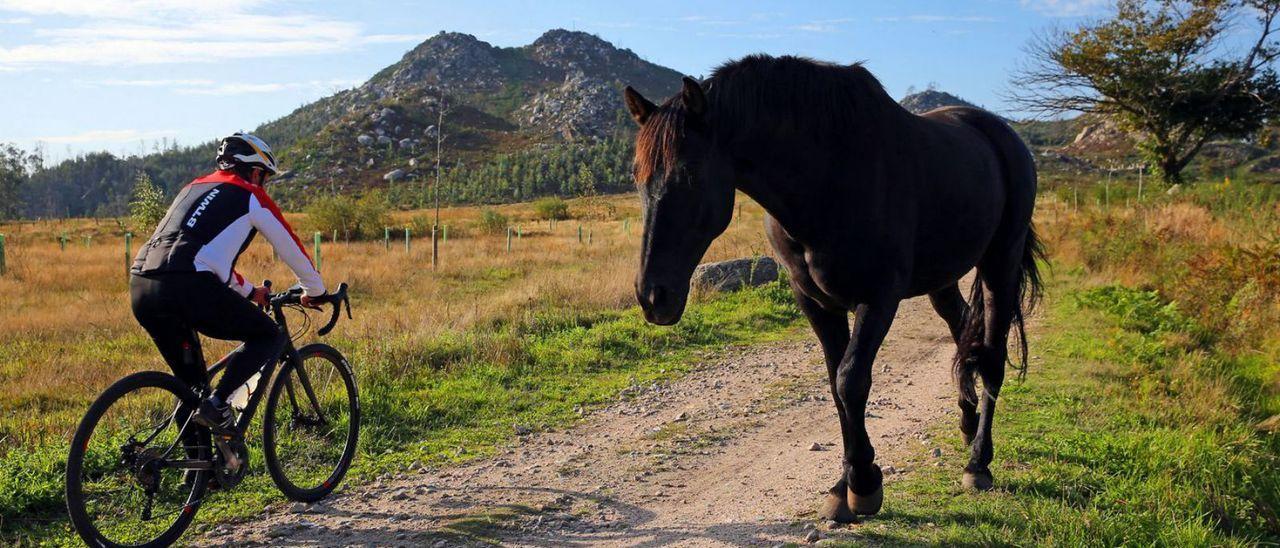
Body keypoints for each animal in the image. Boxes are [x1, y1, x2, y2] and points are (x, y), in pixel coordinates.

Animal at [624, 56, 1044, 522]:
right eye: (637, 176)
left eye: (689, 174)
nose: (653, 297)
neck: (827, 180)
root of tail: (1001, 134)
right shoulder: (816, 302)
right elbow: (835, 386)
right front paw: (842, 488)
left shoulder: (878, 298)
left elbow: (850, 381)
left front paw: (864, 484)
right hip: (944, 279)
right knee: (963, 335)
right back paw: (967, 426)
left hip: (1000, 263)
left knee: (992, 356)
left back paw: (978, 462)